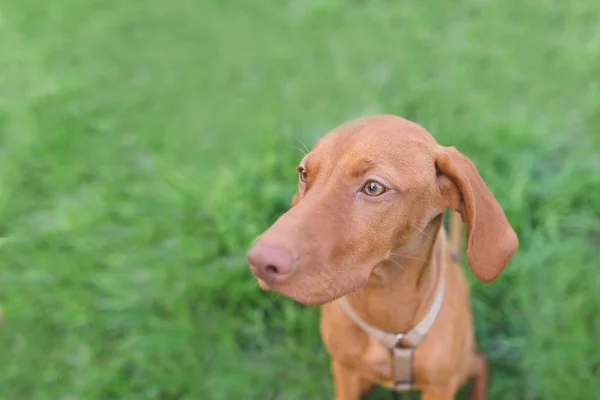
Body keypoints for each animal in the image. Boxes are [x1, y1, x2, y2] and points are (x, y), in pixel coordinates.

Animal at [246, 114, 516, 398]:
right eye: (304, 173)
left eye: (373, 187)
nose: (259, 262)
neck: (384, 301)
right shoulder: (345, 372)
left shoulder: (439, 386)